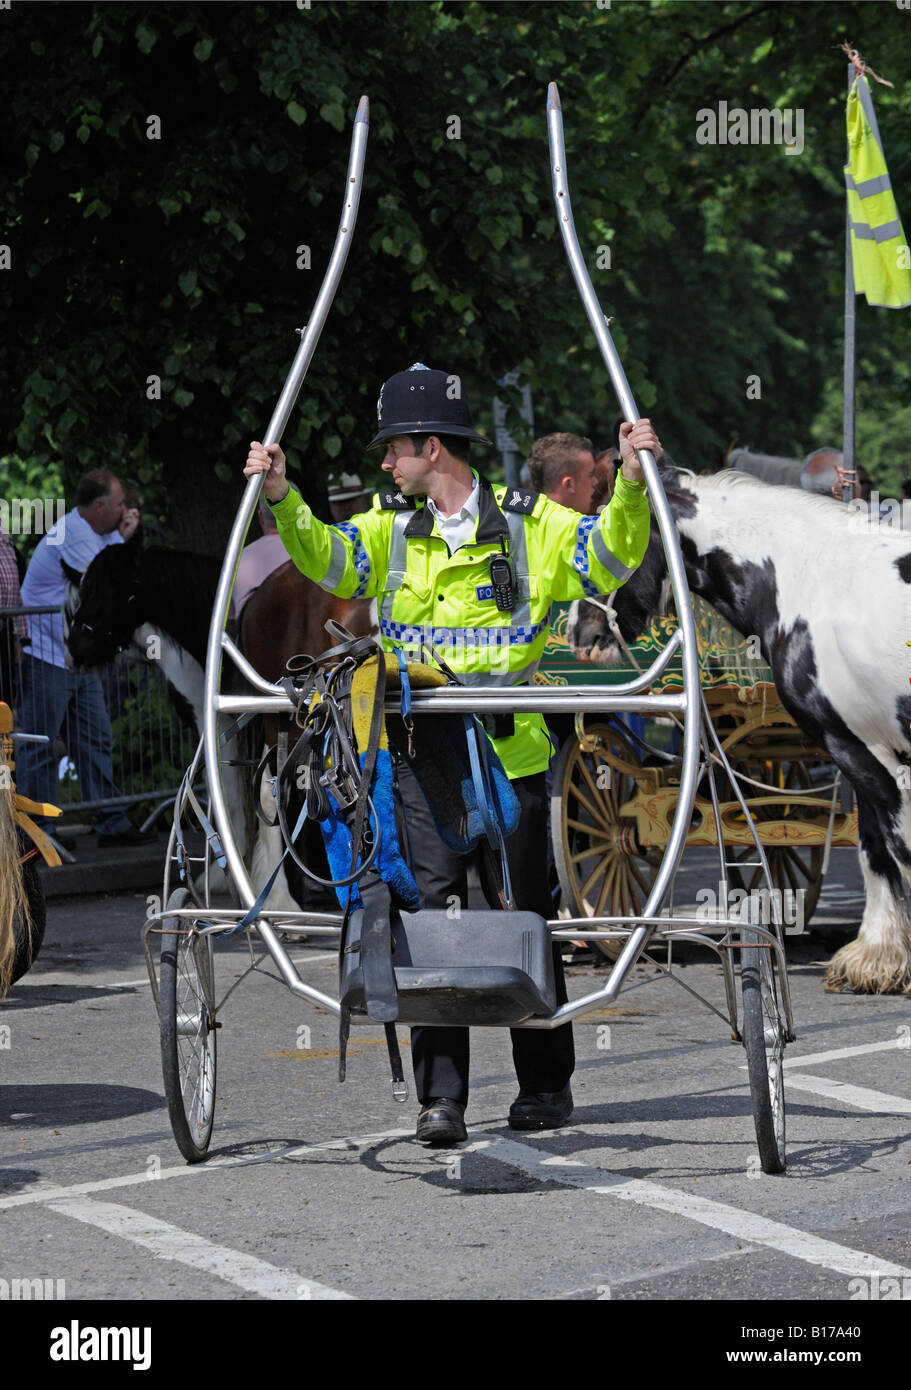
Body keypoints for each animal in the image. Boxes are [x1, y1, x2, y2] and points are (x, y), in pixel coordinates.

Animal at [570, 461, 911, 995]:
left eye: (607, 538)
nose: (578, 631)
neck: (811, 580)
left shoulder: (861, 747)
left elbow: (894, 844)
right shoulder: (862, 750)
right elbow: (875, 844)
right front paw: (878, 957)